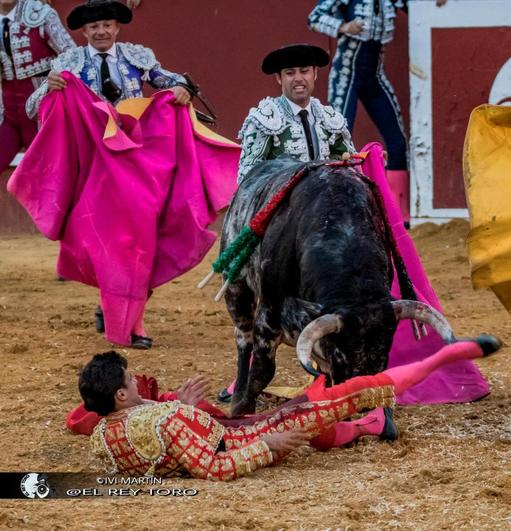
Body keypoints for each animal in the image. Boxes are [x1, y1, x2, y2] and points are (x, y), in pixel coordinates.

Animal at [222, 157, 454, 416]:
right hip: (235, 286)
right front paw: (241, 410)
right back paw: (237, 395)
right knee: (244, 339)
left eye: (386, 347)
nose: (366, 401)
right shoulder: (268, 316)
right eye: (341, 351)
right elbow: (262, 372)